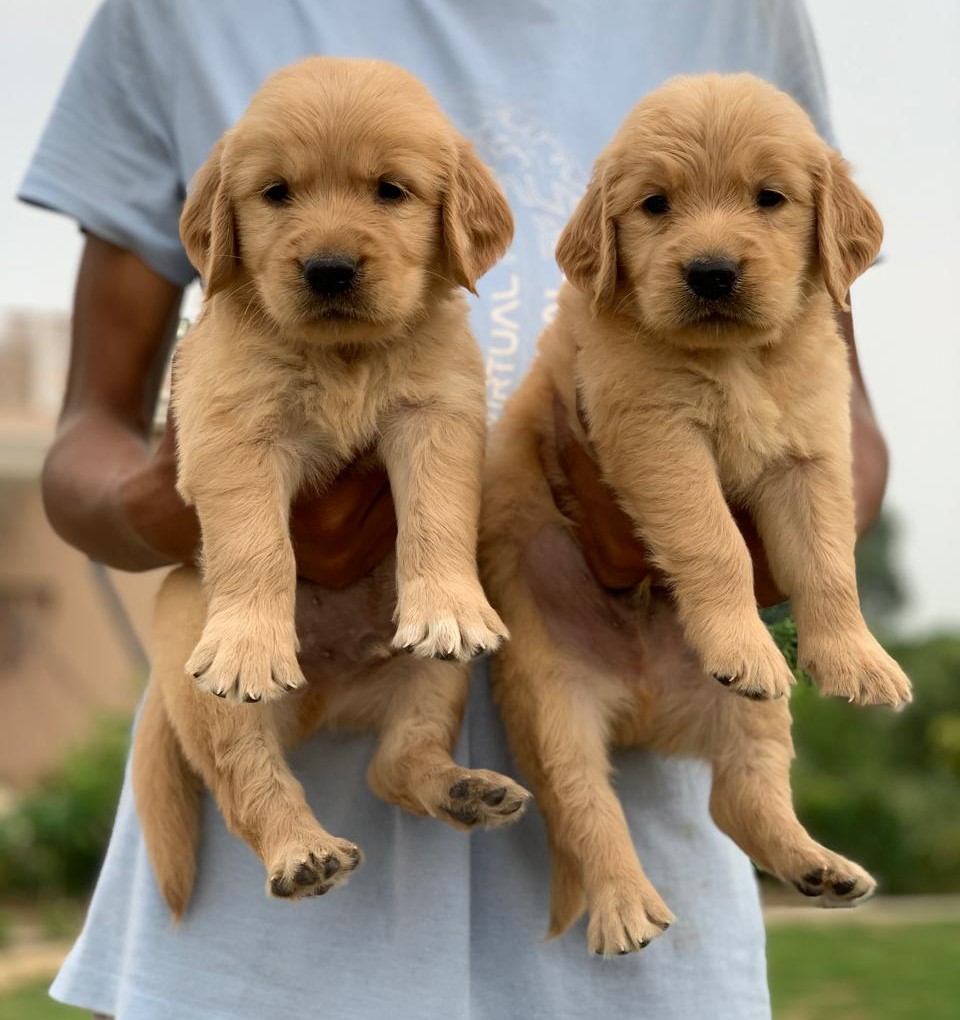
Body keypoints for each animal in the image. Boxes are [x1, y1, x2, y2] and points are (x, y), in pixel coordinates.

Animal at [130, 55, 526, 918]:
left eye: (390, 191)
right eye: (277, 192)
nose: (330, 269)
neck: (344, 356)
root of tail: (325, 699)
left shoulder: (438, 414)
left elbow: (439, 514)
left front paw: (448, 602)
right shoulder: (231, 431)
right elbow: (256, 544)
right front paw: (252, 639)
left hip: (435, 679)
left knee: (394, 763)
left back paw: (464, 790)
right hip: (198, 672)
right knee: (249, 784)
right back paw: (303, 852)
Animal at [483, 75, 910, 958]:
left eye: (769, 198)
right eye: (655, 205)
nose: (711, 273)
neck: (735, 360)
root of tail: (644, 705)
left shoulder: (814, 450)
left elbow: (827, 559)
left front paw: (857, 659)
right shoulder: (655, 435)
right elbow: (715, 542)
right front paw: (742, 634)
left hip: (755, 715)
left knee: (741, 794)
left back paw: (819, 866)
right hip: (549, 698)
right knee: (585, 804)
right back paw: (624, 906)